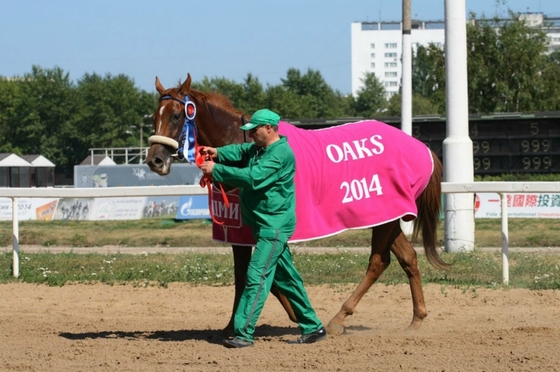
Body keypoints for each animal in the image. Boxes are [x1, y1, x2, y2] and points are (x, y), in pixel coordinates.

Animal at [145, 73, 450, 338]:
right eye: (154, 117)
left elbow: (257, 273)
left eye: (176, 115)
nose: (154, 160)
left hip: (382, 215)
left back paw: (340, 318)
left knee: (378, 261)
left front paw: (253, 322)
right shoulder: (240, 231)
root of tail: (421, 147)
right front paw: (241, 323)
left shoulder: (260, 228)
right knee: (407, 257)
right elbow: (253, 274)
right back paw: (416, 318)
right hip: (388, 215)